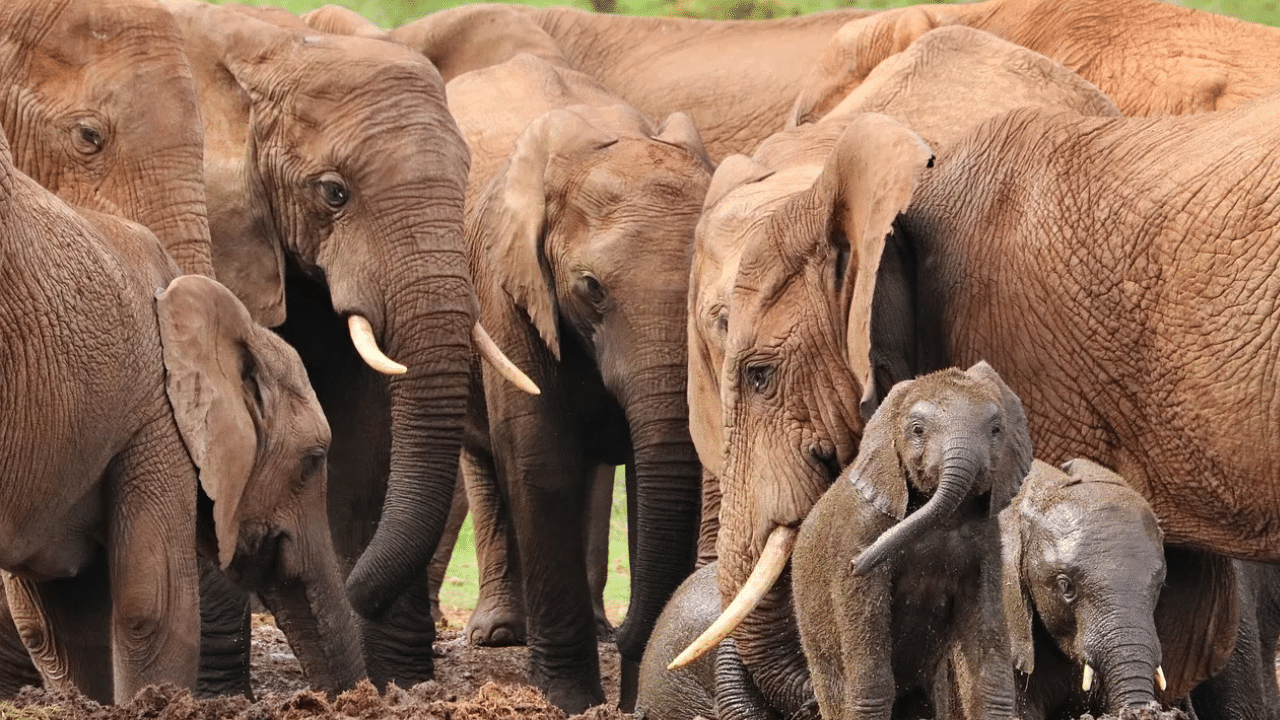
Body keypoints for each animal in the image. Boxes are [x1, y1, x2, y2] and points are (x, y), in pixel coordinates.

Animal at [166, 2, 535, 686]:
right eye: (334, 192)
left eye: (464, 185)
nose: (356, 587)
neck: (275, 46)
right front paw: (216, 692)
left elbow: (366, 433)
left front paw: (397, 683)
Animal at [445, 53, 711, 707]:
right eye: (591, 288)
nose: (630, 636)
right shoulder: (506, 288)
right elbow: (539, 460)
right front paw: (568, 701)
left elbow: (651, 474)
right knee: (485, 460)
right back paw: (499, 634)